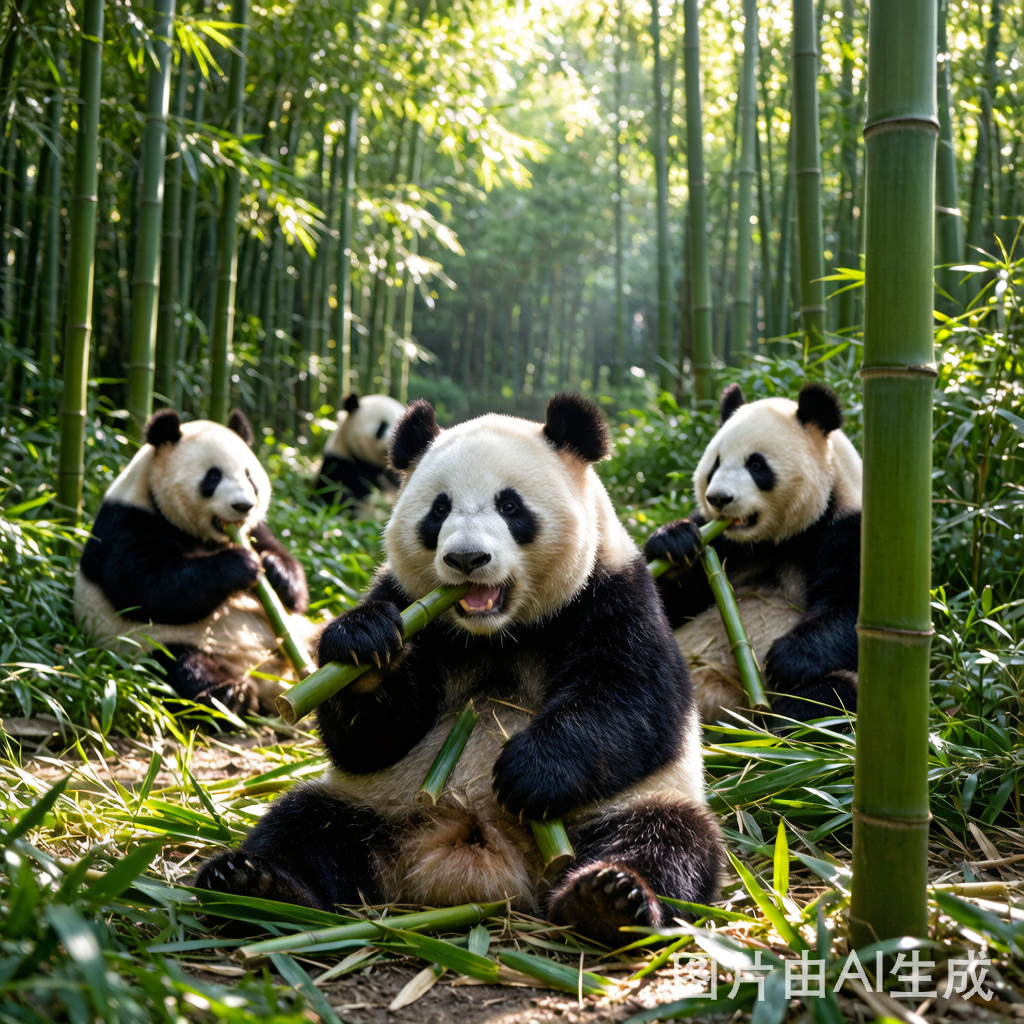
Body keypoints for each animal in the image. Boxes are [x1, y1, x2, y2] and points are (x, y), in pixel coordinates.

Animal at [74, 409, 317, 715]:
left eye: (249, 476)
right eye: (213, 476)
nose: (243, 506)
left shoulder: (252, 529)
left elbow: (291, 580)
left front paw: (276, 571)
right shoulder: (126, 523)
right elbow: (146, 588)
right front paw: (242, 565)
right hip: (161, 643)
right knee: (181, 666)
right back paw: (233, 696)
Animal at [196, 393, 723, 946]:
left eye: (510, 506)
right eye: (439, 509)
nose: (467, 558)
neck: (497, 631)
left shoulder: (612, 593)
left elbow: (633, 697)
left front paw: (528, 772)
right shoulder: (407, 601)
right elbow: (370, 740)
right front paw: (364, 647)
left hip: (630, 804)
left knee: (666, 841)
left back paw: (607, 898)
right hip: (373, 803)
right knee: (302, 825)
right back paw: (252, 885)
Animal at [644, 382, 862, 724]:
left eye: (756, 465)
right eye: (715, 465)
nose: (719, 499)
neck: (777, 538)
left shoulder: (850, 526)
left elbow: (852, 607)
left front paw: (786, 660)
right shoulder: (721, 541)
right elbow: (672, 602)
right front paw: (673, 543)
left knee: (828, 700)